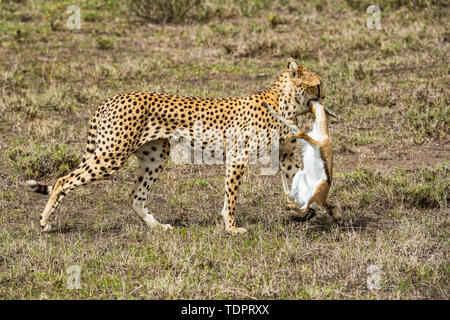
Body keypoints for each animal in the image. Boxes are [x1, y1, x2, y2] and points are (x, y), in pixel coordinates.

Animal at [27, 58, 324, 235]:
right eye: (318, 85)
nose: (324, 96)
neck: (284, 103)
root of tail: (112, 97)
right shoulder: (237, 157)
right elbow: (231, 197)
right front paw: (231, 228)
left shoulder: (285, 155)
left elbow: (300, 179)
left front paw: (306, 211)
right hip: (112, 154)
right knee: (63, 180)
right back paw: (46, 221)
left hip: (155, 155)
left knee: (135, 195)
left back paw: (157, 226)